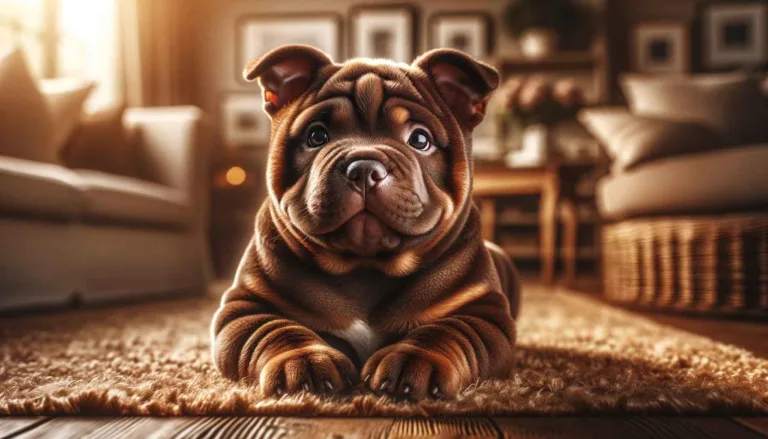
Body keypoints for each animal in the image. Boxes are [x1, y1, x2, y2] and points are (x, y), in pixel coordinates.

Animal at [213, 45, 520, 402]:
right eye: (316, 136)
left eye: (420, 140)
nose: (363, 167)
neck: (365, 267)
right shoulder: (247, 306)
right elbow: (278, 331)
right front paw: (304, 363)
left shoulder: (482, 313)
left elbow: (445, 331)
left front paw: (412, 360)